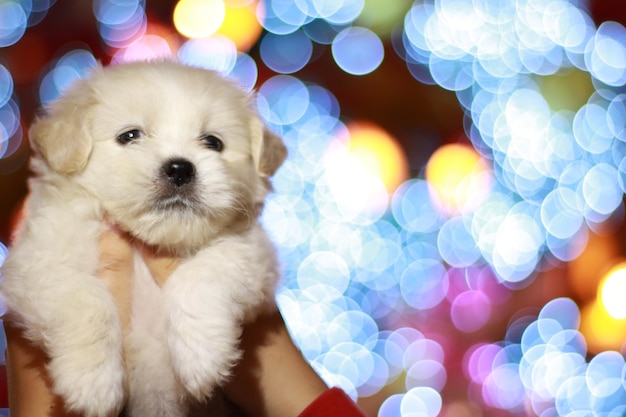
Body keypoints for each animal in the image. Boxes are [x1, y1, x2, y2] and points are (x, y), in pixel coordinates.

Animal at [0, 61, 286, 416]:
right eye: (130, 136)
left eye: (213, 142)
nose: (180, 169)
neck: (146, 243)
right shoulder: (36, 263)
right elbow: (87, 299)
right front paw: (92, 382)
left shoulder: (252, 253)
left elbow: (200, 274)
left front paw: (202, 355)